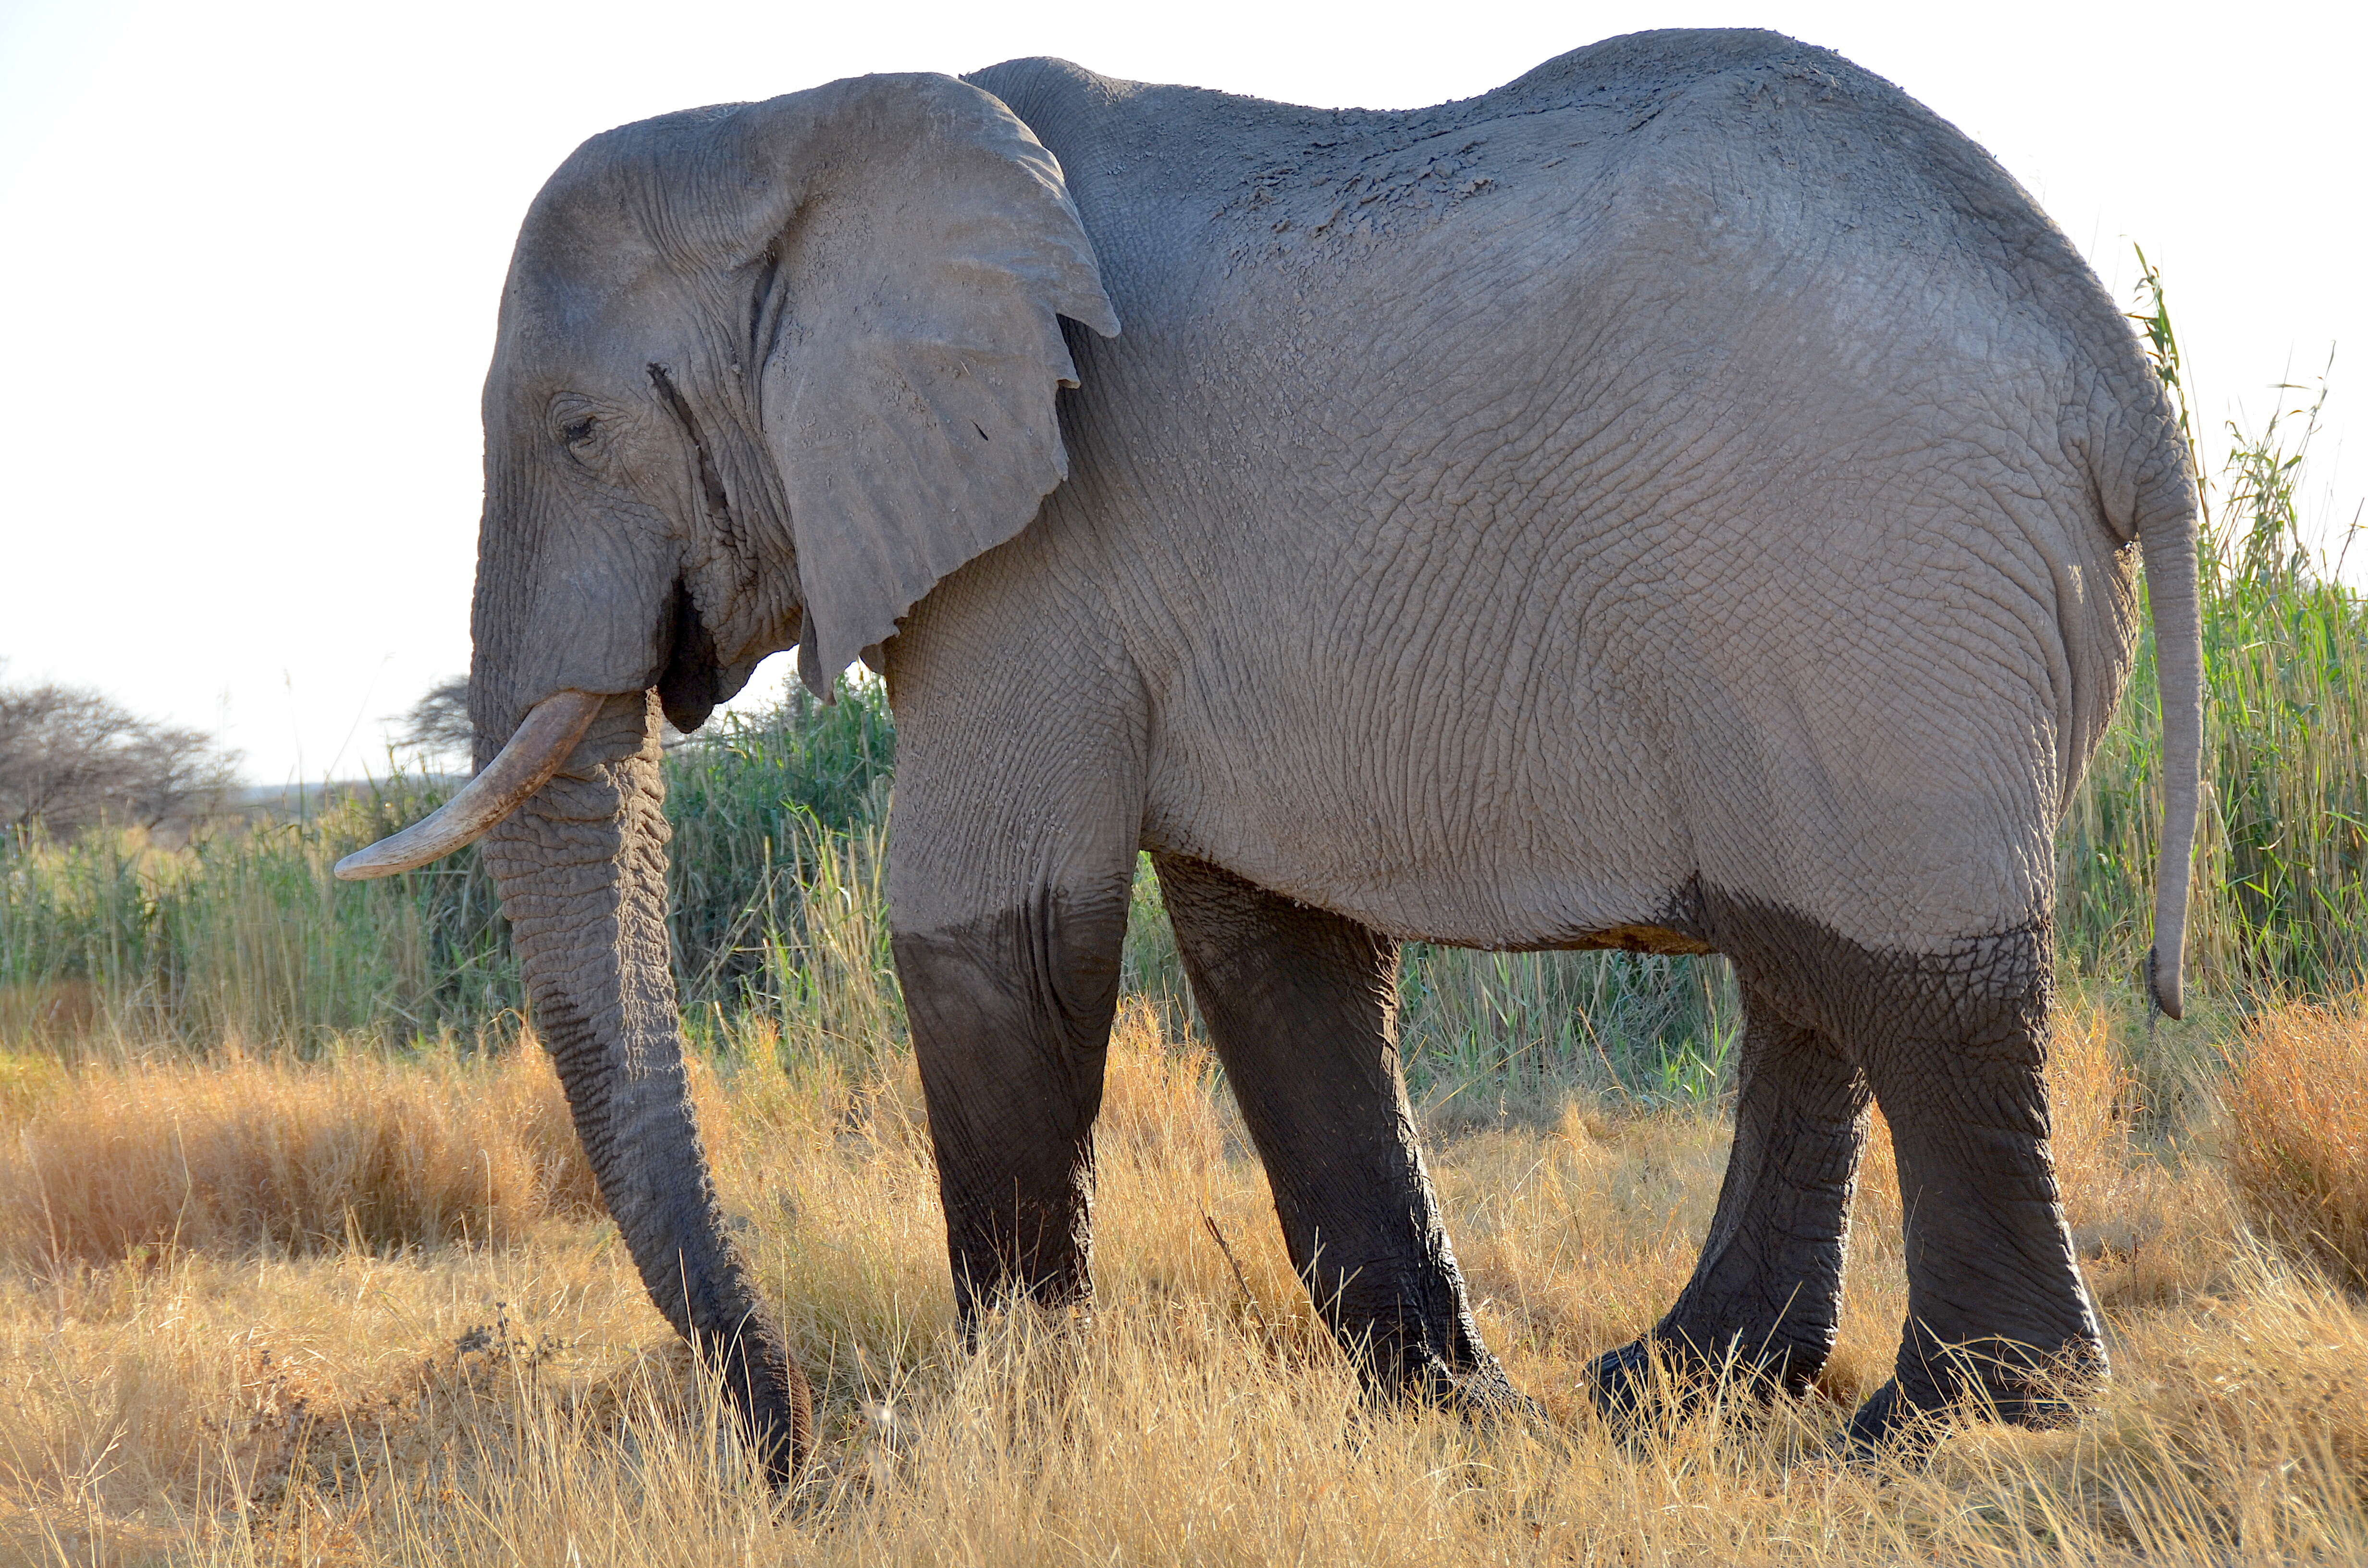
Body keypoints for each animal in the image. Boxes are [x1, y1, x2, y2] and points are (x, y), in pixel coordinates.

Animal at [338, 24, 2197, 1478]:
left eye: (581, 430)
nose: (796, 1445)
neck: (797, 119)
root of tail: (2116, 381)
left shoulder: (1045, 552)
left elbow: (994, 933)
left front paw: (1009, 1435)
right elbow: (1269, 953)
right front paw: (1453, 1417)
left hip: (1869, 581)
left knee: (1917, 984)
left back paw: (1949, 1423)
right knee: (1805, 966)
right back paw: (1674, 1390)